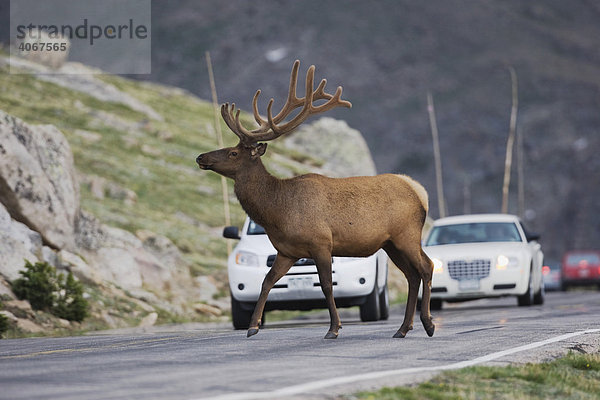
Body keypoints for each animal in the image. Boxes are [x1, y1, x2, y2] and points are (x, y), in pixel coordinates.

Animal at [198, 61, 436, 340]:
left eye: (233, 152)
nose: (201, 157)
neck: (277, 212)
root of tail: (419, 191)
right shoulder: (287, 251)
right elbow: (267, 281)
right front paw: (253, 326)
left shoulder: (321, 242)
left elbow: (326, 285)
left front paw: (334, 328)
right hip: (390, 243)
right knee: (412, 275)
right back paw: (403, 328)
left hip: (406, 233)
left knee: (427, 266)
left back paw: (428, 324)